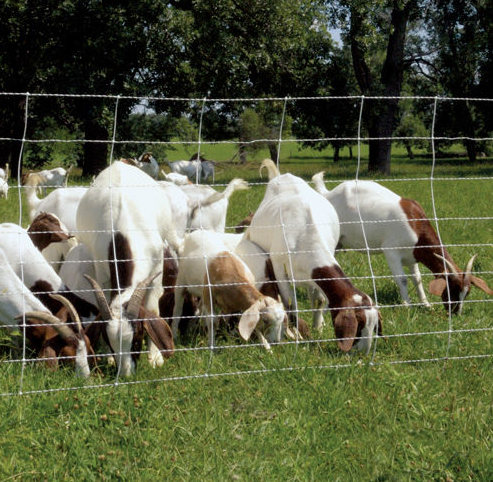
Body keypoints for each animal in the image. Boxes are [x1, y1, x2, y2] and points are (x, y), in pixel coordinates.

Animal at [76, 162, 178, 376]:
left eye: (137, 340)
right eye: (110, 343)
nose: (125, 375)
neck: (123, 234)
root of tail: (118, 164)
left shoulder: (156, 269)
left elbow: (152, 307)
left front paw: (155, 358)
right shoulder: (102, 272)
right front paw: (109, 359)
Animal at [246, 160, 380, 352]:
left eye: (374, 324)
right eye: (359, 325)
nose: (363, 351)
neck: (306, 235)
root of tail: (282, 175)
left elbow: (319, 300)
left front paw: (318, 328)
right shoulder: (279, 268)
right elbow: (290, 304)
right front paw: (295, 333)